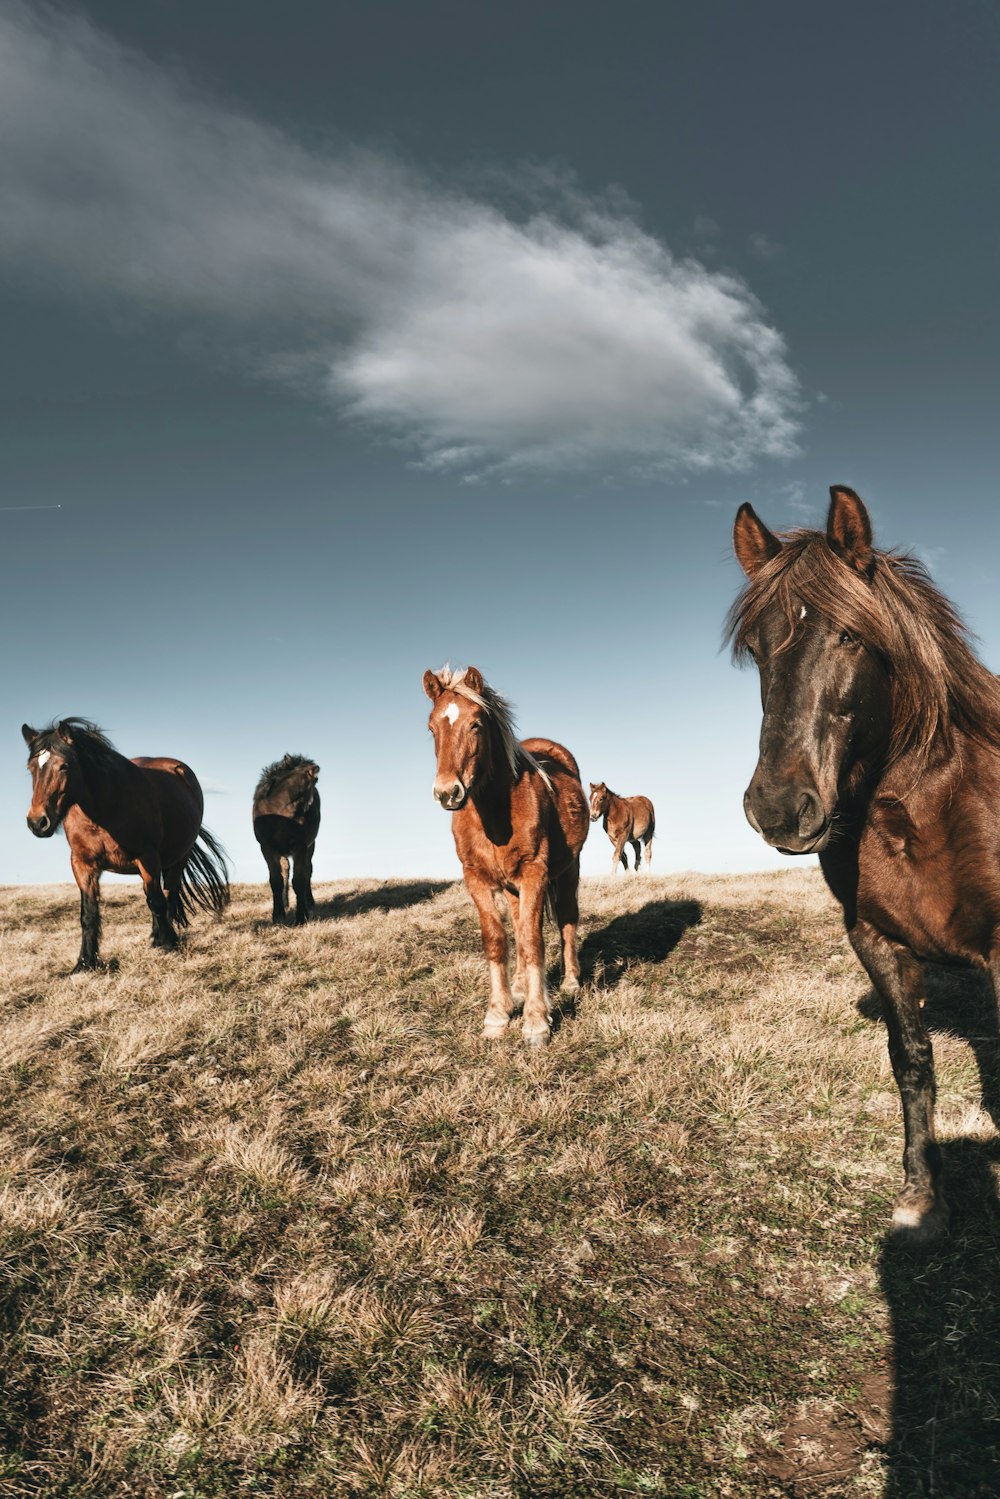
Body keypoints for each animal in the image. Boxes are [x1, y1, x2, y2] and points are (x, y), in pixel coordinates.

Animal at [22, 722, 229, 977]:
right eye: (31, 768)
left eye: (65, 766)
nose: (38, 822)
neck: (103, 811)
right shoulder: (82, 864)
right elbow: (89, 914)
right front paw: (85, 962)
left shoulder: (148, 857)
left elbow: (157, 901)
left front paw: (168, 944)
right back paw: (155, 936)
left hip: (178, 858)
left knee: (168, 894)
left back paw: (163, 937)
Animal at [251, 749, 319, 923]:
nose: (307, 816)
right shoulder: (267, 848)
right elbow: (276, 880)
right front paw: (277, 914)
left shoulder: (300, 847)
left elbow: (299, 880)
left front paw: (301, 917)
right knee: (285, 871)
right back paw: (286, 904)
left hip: (310, 847)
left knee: (307, 871)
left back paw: (309, 903)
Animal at [419, 662, 587, 1049]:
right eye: (432, 728)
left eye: (475, 724)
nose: (447, 793)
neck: (494, 812)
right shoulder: (476, 878)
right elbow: (498, 940)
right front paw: (497, 1015)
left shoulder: (535, 872)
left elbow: (532, 941)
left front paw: (536, 1023)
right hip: (512, 888)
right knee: (522, 926)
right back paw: (521, 987)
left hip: (567, 871)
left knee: (566, 919)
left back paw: (570, 982)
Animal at [731, 482, 1000, 1241]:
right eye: (756, 649)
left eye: (850, 634)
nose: (778, 808)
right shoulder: (877, 943)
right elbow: (911, 1063)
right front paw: (922, 1198)